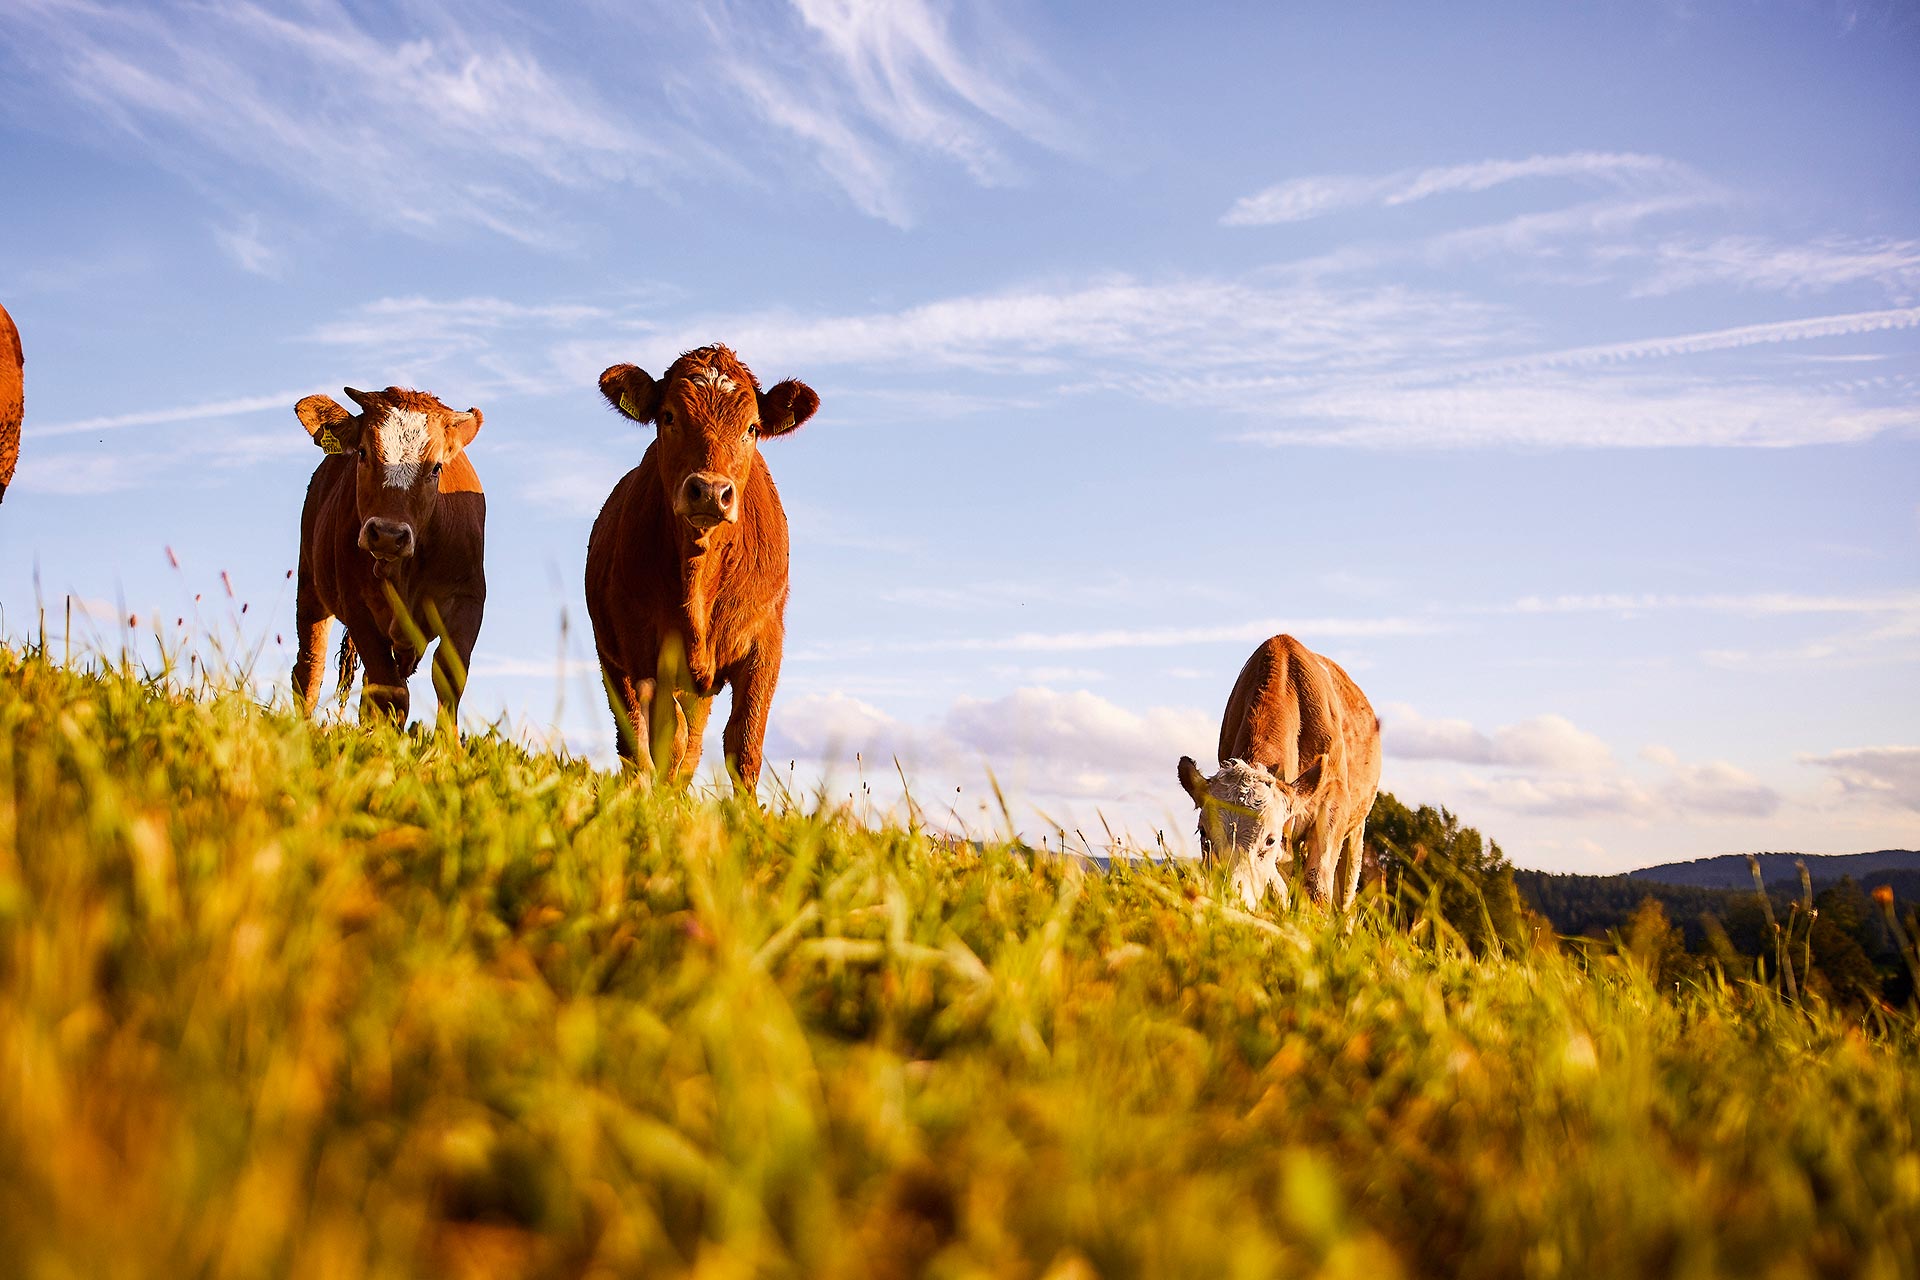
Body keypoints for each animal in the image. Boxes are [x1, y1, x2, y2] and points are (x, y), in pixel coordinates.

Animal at [293, 385, 487, 725]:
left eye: (436, 467)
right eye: (363, 453)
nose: (387, 534)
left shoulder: (469, 598)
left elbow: (449, 677)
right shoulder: (357, 606)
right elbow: (391, 692)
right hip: (310, 587)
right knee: (309, 669)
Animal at [587, 345, 821, 794]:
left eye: (751, 427)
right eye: (668, 416)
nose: (711, 491)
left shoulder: (766, 640)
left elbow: (743, 743)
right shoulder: (645, 646)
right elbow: (667, 736)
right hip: (613, 661)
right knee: (635, 737)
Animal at [1167, 637, 1382, 917]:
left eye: (1270, 839)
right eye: (1203, 834)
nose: (1231, 900)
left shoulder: (1333, 802)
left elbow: (1317, 887)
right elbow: (1279, 889)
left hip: (1356, 828)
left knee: (1345, 897)